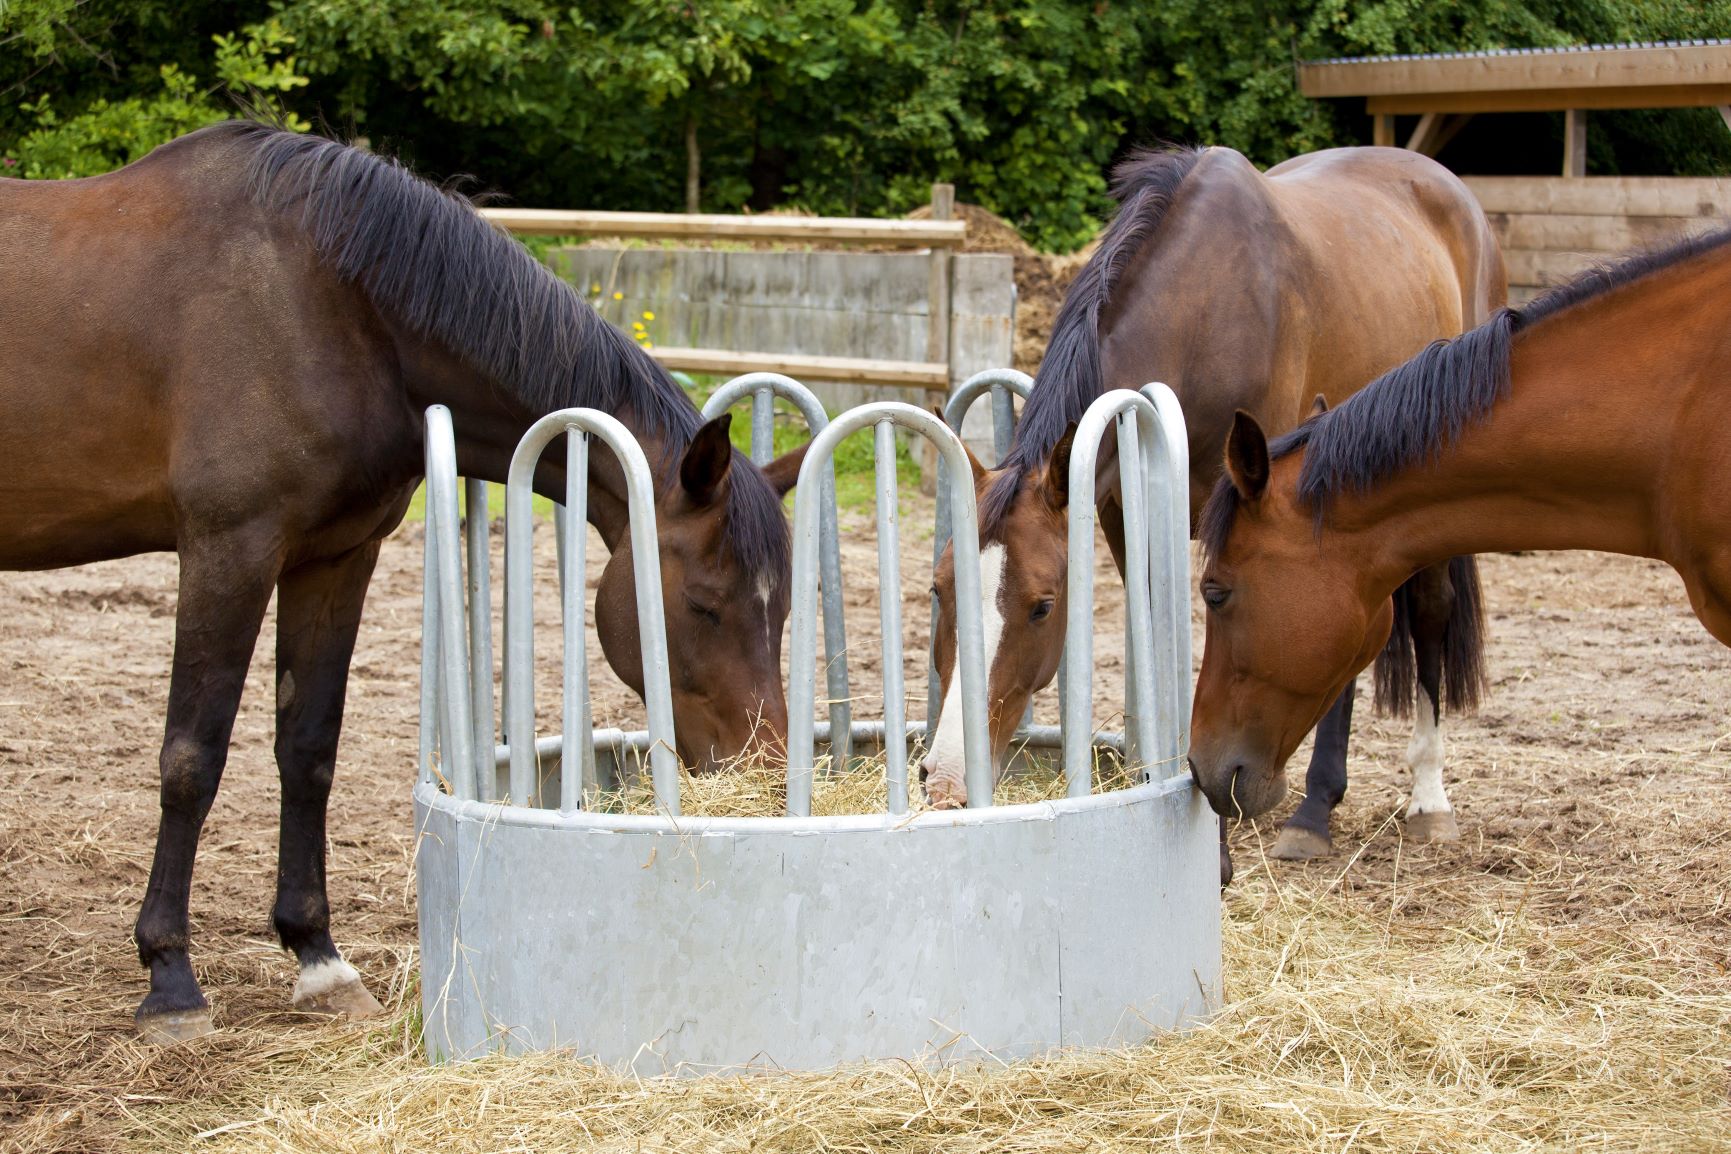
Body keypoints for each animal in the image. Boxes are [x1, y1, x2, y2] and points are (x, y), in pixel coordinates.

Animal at [0, 121, 810, 1045]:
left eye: (783, 611)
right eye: (705, 607)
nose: (766, 766)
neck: (325, 305)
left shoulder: (334, 557)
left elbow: (308, 748)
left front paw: (317, 957)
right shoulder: (227, 550)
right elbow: (190, 759)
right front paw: (171, 979)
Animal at [927, 141, 1509, 875]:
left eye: (1041, 606)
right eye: (939, 589)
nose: (946, 776)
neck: (1206, 307)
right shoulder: (1123, 514)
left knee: (1426, 614)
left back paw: (1394, 803)